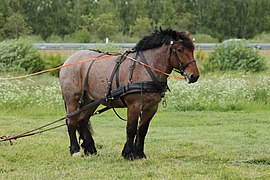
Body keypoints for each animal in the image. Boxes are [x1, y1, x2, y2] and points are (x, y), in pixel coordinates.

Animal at [59, 28, 198, 160]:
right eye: (179, 50)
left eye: (192, 49)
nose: (194, 76)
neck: (145, 68)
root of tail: (69, 60)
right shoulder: (134, 105)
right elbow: (131, 129)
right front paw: (129, 154)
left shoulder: (152, 107)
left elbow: (142, 129)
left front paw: (140, 153)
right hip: (73, 99)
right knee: (71, 121)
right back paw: (75, 150)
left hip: (92, 101)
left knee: (82, 120)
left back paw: (90, 149)